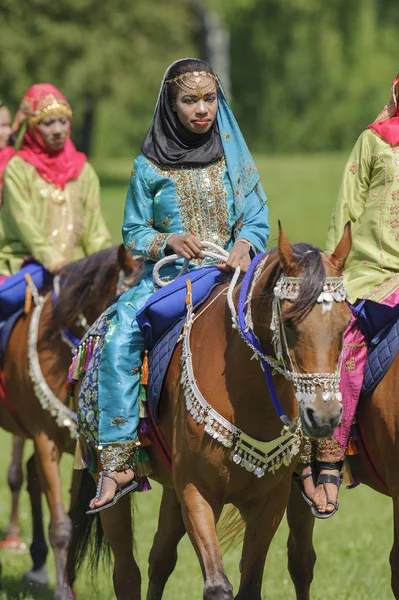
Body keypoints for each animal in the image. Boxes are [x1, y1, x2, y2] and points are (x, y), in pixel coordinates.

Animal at [0, 245, 143, 600]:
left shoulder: (81, 446)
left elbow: (72, 518)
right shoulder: (44, 438)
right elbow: (62, 525)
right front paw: (63, 592)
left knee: (29, 473)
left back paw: (38, 565)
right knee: (21, 474)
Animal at [68, 226, 354, 600]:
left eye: (345, 322)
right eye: (290, 323)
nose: (324, 416)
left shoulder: (269, 500)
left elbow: (251, 584)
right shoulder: (197, 491)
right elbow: (218, 585)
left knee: (166, 558)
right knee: (127, 573)